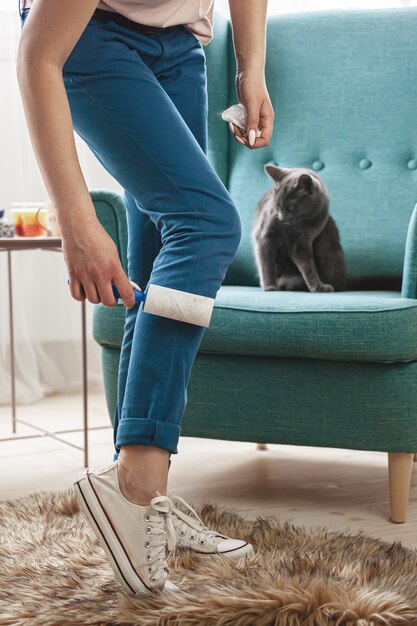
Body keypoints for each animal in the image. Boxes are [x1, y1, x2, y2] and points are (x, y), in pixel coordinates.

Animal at [252, 165, 402, 294]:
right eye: (276, 206)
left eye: (290, 207)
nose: (281, 219)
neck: (297, 224)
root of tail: (345, 280)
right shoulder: (266, 235)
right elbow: (266, 264)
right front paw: (270, 287)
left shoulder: (302, 242)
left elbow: (308, 266)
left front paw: (318, 287)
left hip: (327, 248)